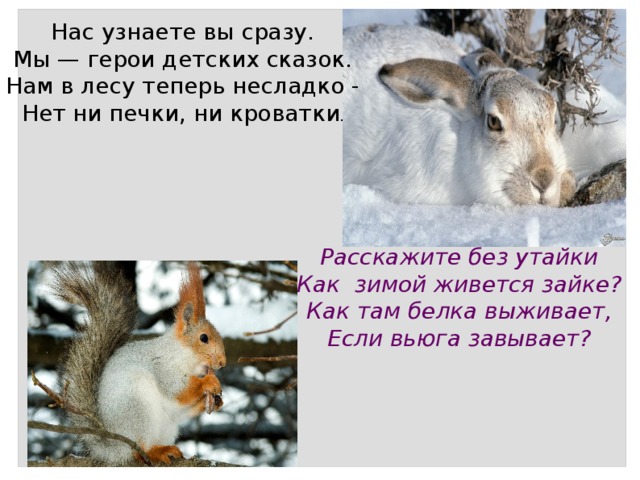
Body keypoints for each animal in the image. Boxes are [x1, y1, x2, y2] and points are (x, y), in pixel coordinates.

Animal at [50, 261, 226, 465]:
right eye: (203, 338)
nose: (222, 362)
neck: (183, 354)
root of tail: (113, 447)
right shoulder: (163, 367)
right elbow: (177, 389)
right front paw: (210, 382)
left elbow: (182, 408)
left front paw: (216, 401)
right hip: (136, 407)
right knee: (138, 450)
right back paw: (154, 452)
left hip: (166, 424)